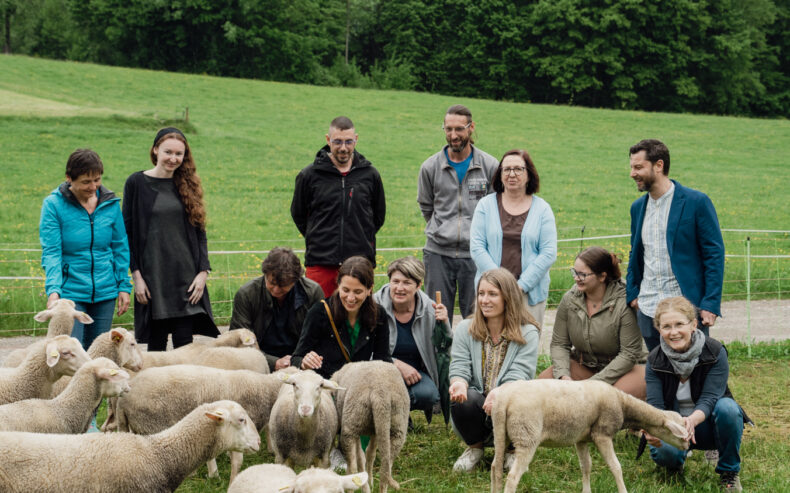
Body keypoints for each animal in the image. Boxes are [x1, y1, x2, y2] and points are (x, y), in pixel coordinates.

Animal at [332, 358, 412, 492]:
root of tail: (380, 391)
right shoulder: (376, 429)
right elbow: (370, 454)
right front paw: (369, 481)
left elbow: (361, 458)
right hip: (397, 425)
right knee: (385, 469)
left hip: (352, 422)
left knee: (353, 465)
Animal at [492, 378, 688, 490]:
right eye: (679, 433)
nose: (688, 445)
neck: (622, 403)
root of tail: (503, 399)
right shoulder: (602, 434)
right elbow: (616, 467)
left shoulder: (581, 438)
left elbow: (586, 467)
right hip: (527, 434)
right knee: (513, 477)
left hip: (501, 433)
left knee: (495, 469)